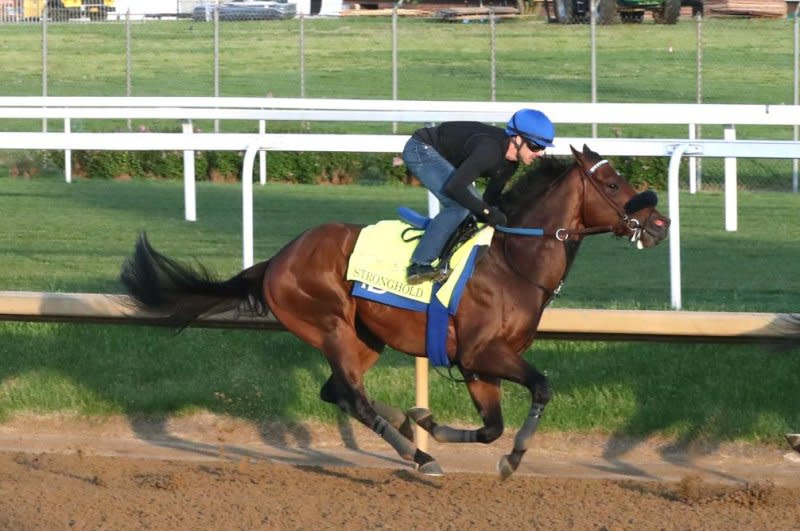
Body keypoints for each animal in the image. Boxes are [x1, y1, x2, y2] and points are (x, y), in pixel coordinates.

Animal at [119, 144, 668, 478]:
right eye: (613, 185)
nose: (659, 222)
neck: (514, 260)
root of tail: (277, 260)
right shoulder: (483, 354)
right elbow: (541, 388)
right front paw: (510, 459)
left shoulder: (475, 365)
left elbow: (491, 427)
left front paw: (431, 421)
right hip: (330, 326)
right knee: (352, 397)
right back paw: (418, 456)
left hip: (367, 338)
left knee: (338, 392)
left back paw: (409, 426)